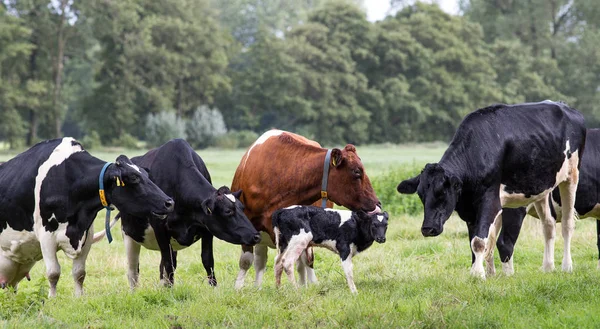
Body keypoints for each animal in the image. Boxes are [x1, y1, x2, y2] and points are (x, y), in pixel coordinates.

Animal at [0, 137, 172, 296]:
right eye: (134, 178)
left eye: (147, 176)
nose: (169, 202)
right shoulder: (46, 235)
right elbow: (53, 273)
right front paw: (52, 299)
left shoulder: (86, 233)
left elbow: (79, 273)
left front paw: (78, 298)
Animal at [231, 128, 380, 288]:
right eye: (357, 172)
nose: (377, 204)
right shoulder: (247, 228)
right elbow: (247, 261)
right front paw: (239, 288)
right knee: (261, 262)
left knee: (304, 261)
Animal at [396, 100, 584, 276]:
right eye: (421, 195)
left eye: (442, 193)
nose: (427, 228)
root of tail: (565, 107)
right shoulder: (470, 211)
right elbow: (474, 241)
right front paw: (479, 271)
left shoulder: (489, 201)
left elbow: (479, 241)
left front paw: (477, 274)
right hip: (541, 186)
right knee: (548, 225)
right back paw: (548, 267)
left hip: (571, 176)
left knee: (567, 224)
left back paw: (566, 266)